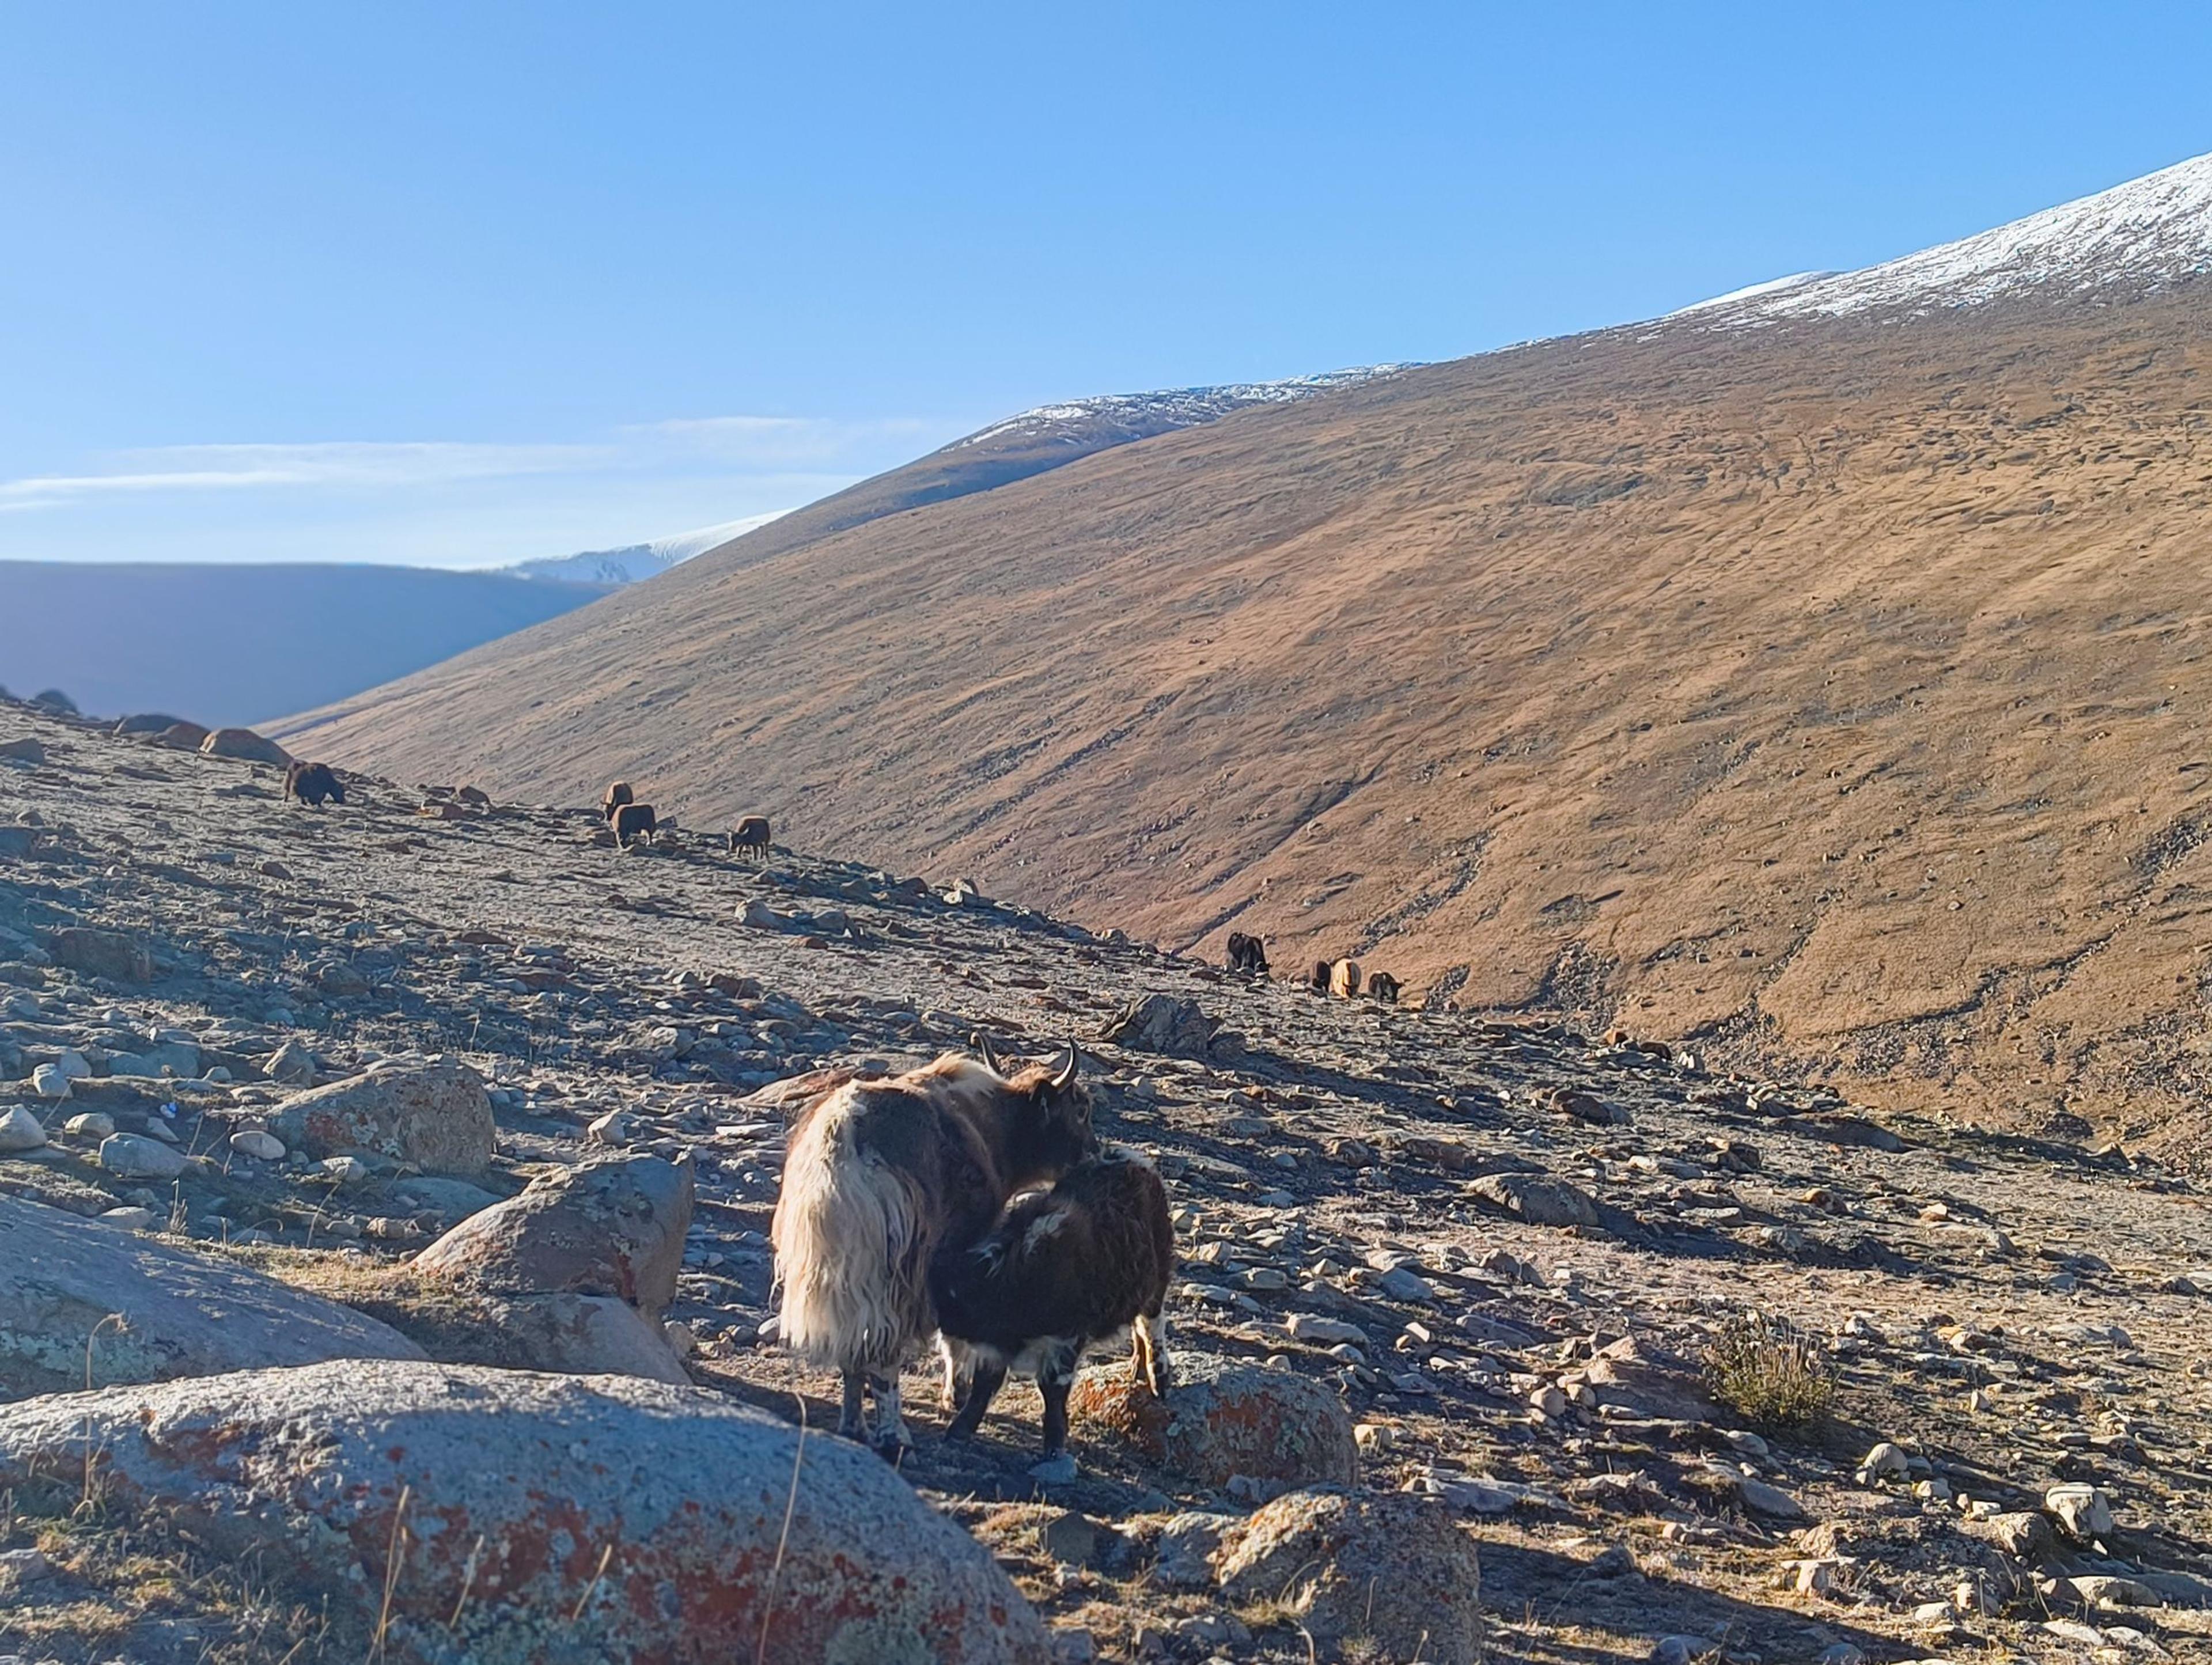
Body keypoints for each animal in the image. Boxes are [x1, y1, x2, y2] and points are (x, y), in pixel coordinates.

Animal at [771, 1042, 1095, 1450]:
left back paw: (854, 1427)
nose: (1093, 1155)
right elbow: (953, 1333)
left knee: (855, 1349)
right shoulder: (956, 1251)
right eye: (1081, 1109)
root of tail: (841, 1144)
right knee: (883, 1352)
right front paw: (955, 1394)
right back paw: (895, 1436)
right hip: (895, 1274)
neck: (996, 1126)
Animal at [934, 1150, 1173, 1471]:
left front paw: (1054, 1450)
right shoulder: (994, 1352)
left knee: (1152, 1326)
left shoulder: (1065, 1341)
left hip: (1157, 1280)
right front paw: (958, 1431)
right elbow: (985, 1386)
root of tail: (1131, 1160)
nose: (946, 1327)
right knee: (1138, 1326)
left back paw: (1159, 1381)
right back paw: (1136, 1368)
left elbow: (1052, 1392)